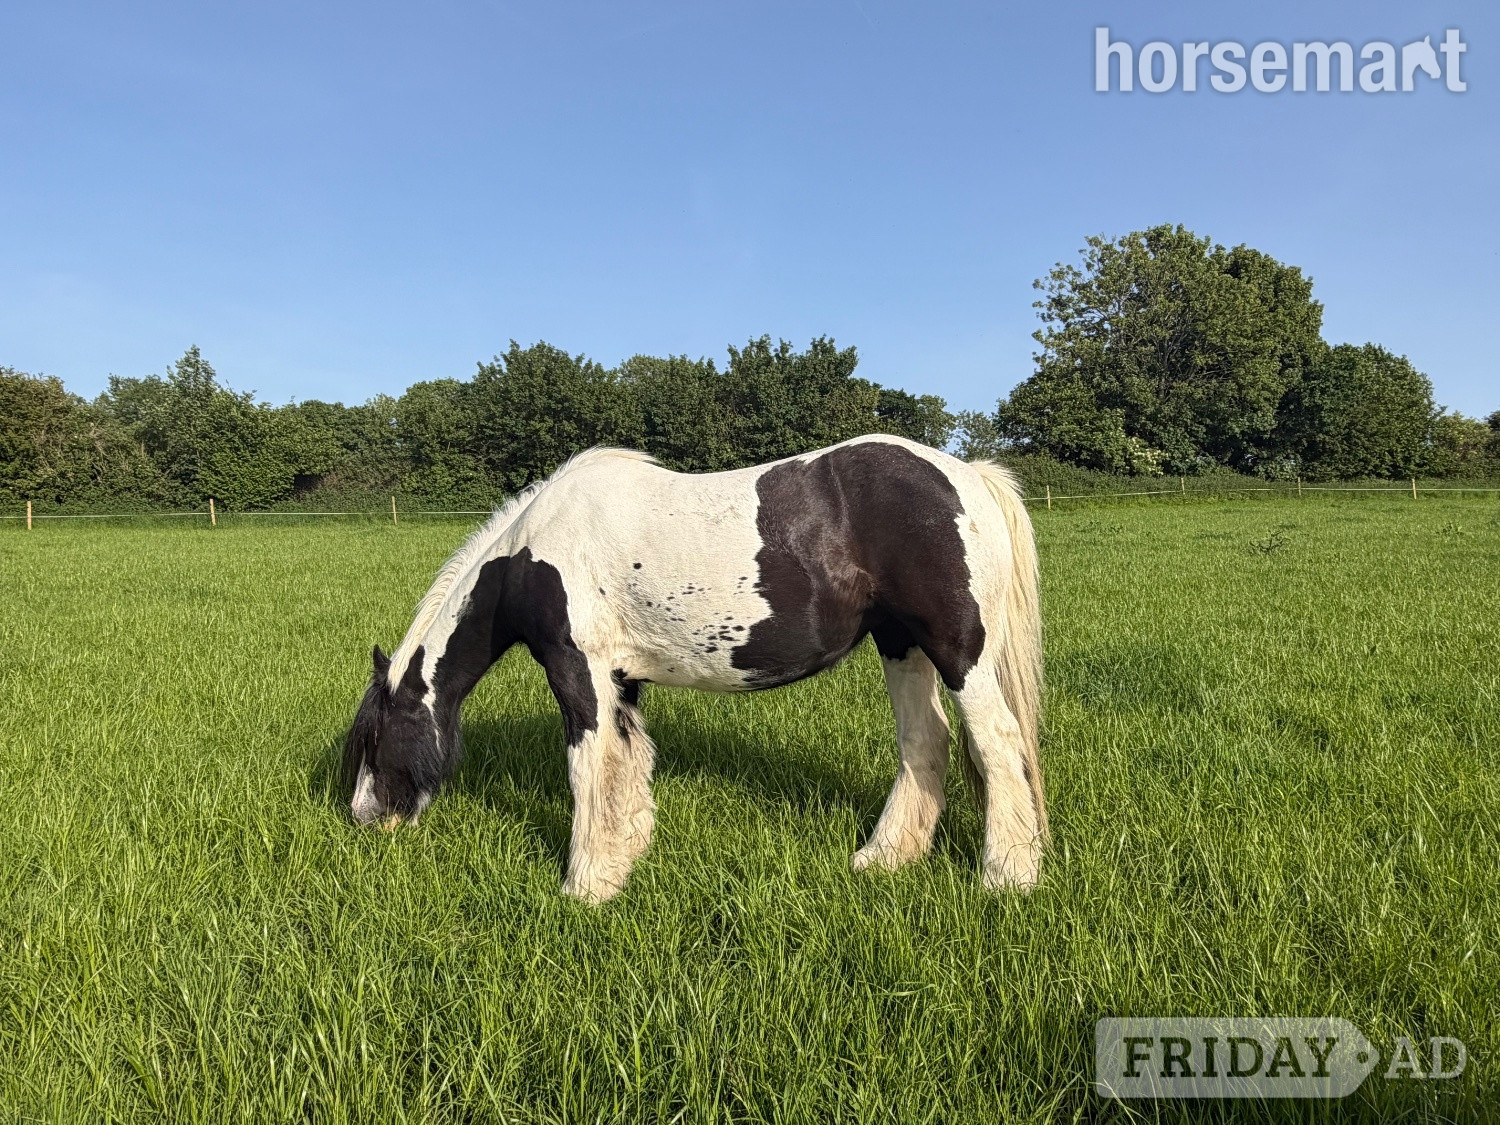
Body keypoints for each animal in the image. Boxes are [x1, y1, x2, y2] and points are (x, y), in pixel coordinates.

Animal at [345, 434, 1045, 903]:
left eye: (375, 739)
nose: (363, 819)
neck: (531, 555)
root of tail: (968, 474)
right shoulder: (620, 681)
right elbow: (626, 763)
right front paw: (623, 858)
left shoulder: (577, 670)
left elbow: (586, 767)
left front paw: (584, 885)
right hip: (900, 645)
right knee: (925, 742)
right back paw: (885, 858)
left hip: (958, 652)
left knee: (997, 742)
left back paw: (1007, 876)